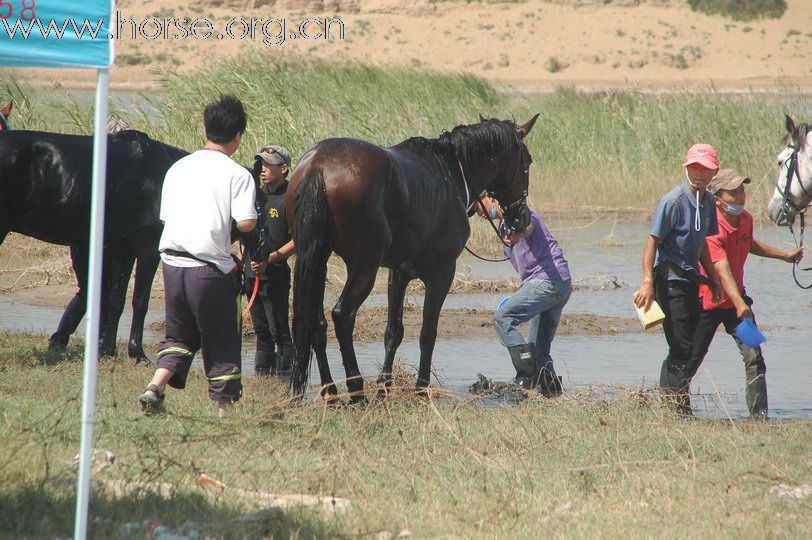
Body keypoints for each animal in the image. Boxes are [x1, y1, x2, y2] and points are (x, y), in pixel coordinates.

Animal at [0, 127, 189, 362]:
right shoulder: (149, 247)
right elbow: (139, 301)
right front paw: (137, 353)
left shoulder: (122, 249)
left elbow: (116, 300)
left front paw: (108, 351)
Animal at [288, 115, 540, 400]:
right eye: (528, 161)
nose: (523, 219)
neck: (451, 172)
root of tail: (318, 166)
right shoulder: (442, 273)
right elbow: (428, 333)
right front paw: (421, 388)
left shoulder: (398, 273)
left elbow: (393, 332)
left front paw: (384, 387)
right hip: (364, 265)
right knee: (343, 316)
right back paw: (356, 391)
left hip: (317, 260)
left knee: (315, 322)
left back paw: (331, 392)